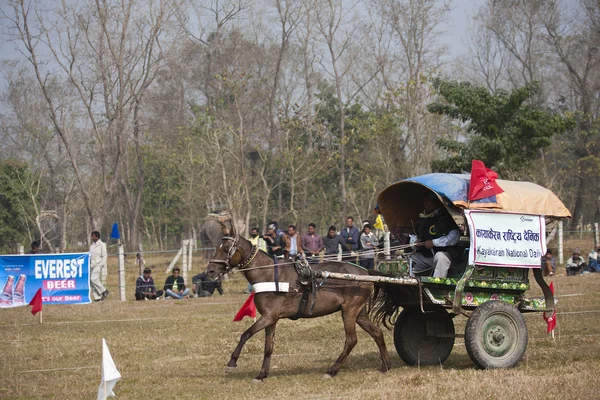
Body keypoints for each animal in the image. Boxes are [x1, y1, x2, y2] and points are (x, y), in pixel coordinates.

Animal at [205, 225, 394, 382]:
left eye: (226, 249)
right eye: (217, 248)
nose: (210, 271)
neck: (269, 275)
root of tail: (365, 272)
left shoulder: (268, 316)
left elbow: (246, 334)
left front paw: (231, 363)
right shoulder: (271, 319)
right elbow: (268, 347)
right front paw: (262, 374)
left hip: (349, 311)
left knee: (351, 340)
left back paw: (332, 370)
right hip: (359, 313)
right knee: (377, 333)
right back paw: (385, 365)